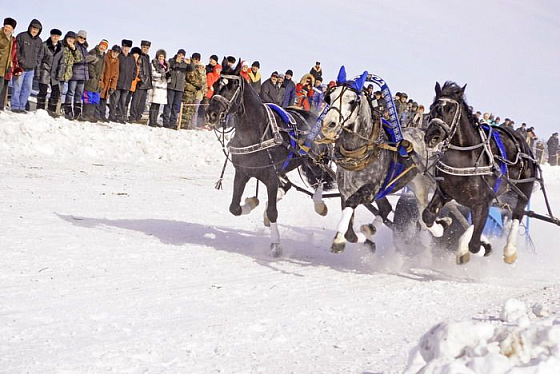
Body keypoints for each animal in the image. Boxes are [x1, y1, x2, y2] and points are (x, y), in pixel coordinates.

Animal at [207, 70, 334, 258]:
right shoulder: (243, 173)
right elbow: (234, 208)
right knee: (287, 185)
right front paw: (252, 203)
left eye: (232, 87)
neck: (258, 132)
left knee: (321, 179)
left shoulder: (271, 177)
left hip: (315, 161)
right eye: (215, 84)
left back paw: (319, 204)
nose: (211, 114)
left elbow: (274, 212)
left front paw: (276, 245)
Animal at [320, 68, 434, 253]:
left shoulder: (370, 190)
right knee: (387, 208)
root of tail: (423, 133)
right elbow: (350, 230)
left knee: (424, 217)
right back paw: (371, 230)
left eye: (352, 101)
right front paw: (357, 237)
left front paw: (339, 240)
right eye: (329, 98)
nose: (328, 124)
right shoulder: (346, 190)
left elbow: (352, 204)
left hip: (420, 186)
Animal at [424, 82, 540, 264]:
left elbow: (474, 245)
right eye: (432, 107)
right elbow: (427, 216)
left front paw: (485, 247)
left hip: (523, 190)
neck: (464, 158)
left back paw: (509, 250)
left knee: (517, 213)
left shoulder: (483, 202)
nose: (432, 137)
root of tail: (524, 142)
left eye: (451, 109)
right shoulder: (444, 192)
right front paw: (444, 223)